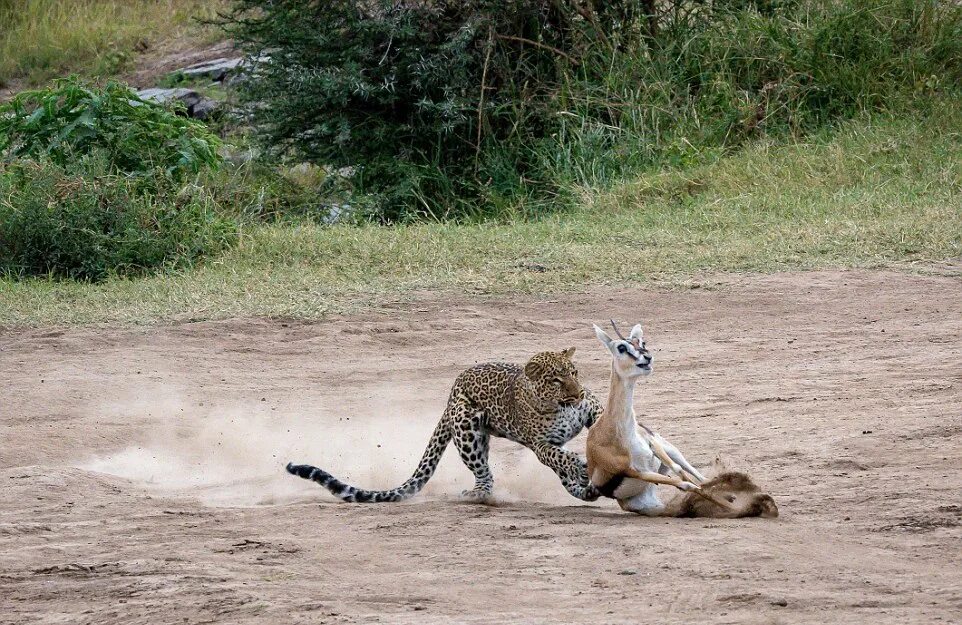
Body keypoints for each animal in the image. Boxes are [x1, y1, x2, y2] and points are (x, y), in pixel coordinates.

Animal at [284, 346, 600, 502]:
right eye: (556, 380)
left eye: (574, 372)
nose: (578, 394)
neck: (560, 405)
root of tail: (450, 395)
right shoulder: (540, 444)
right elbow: (558, 456)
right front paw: (580, 464)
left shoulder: (592, 409)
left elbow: (596, 421)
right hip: (467, 429)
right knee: (484, 473)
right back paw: (479, 494)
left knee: (563, 479)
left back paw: (585, 489)